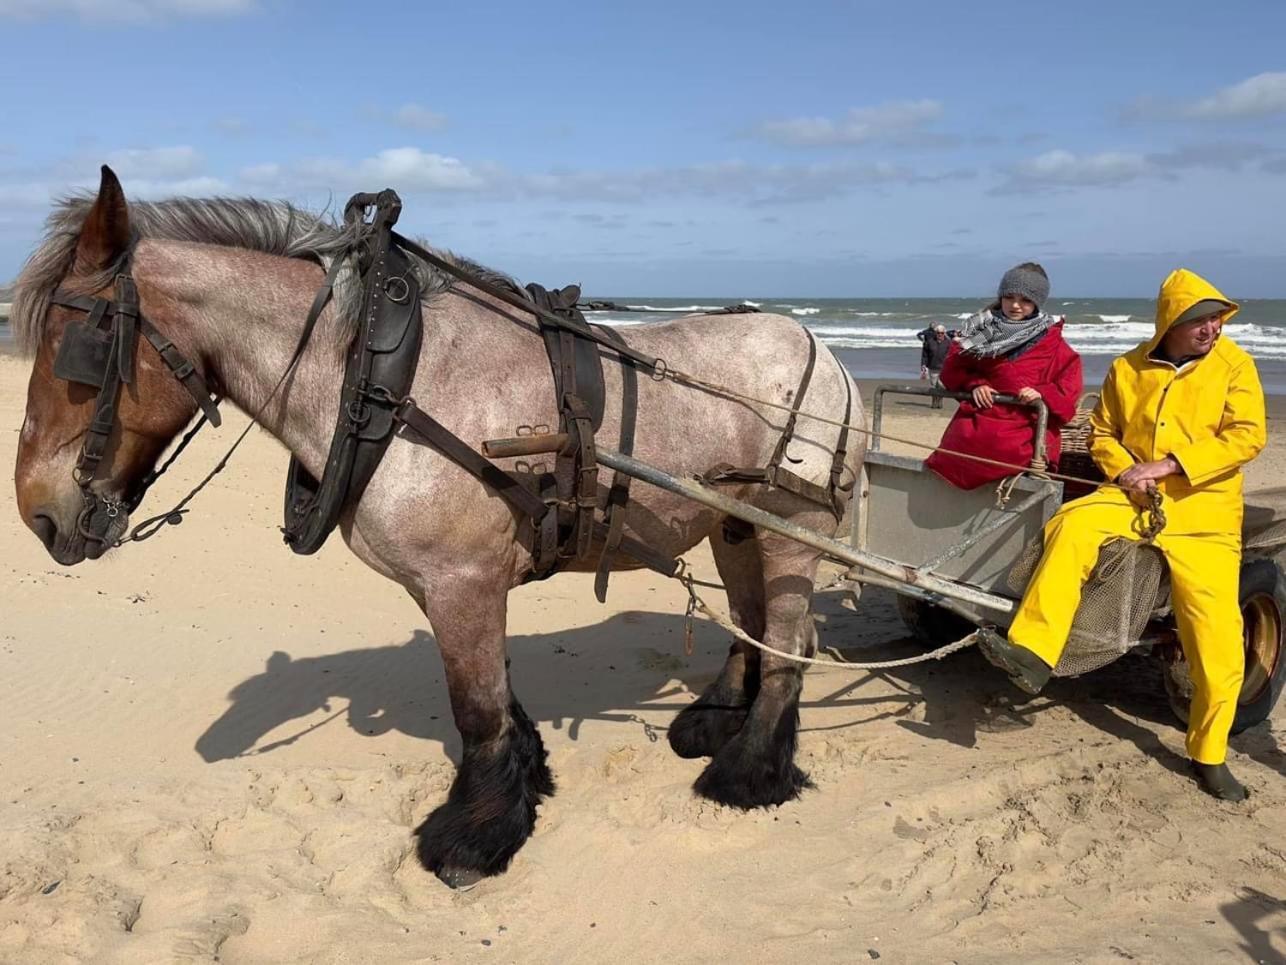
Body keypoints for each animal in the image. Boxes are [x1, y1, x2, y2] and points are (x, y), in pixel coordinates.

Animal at [12, 165, 864, 890]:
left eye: (80, 345)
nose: (37, 513)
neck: (380, 380)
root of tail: (827, 354)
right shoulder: (449, 585)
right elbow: (496, 694)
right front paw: (524, 778)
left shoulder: (463, 578)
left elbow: (476, 707)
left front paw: (472, 837)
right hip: (735, 524)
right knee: (752, 623)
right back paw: (717, 723)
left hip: (792, 525)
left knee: (786, 644)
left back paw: (748, 770)